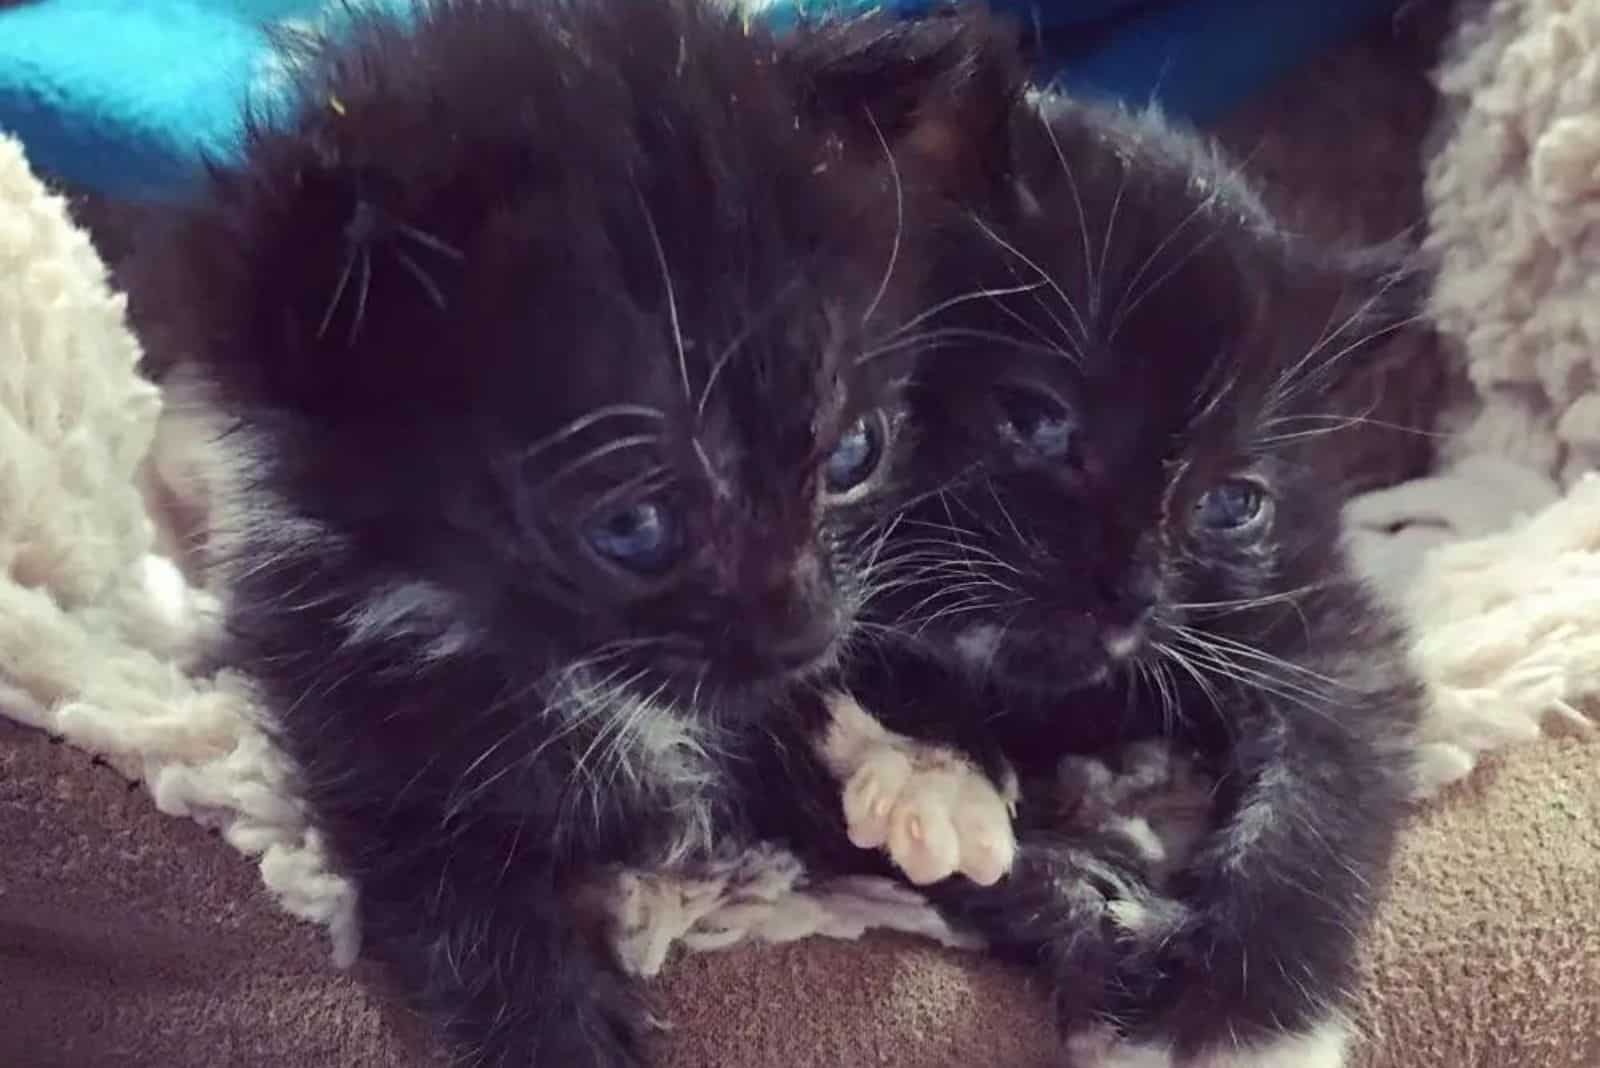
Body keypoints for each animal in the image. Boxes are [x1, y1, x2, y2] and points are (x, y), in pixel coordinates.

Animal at [825, 95, 1427, 1061]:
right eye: (1036, 419)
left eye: (1232, 502)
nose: (1131, 593)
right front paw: (938, 768)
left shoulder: (1319, 615)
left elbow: (1327, 770)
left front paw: (1243, 1018)